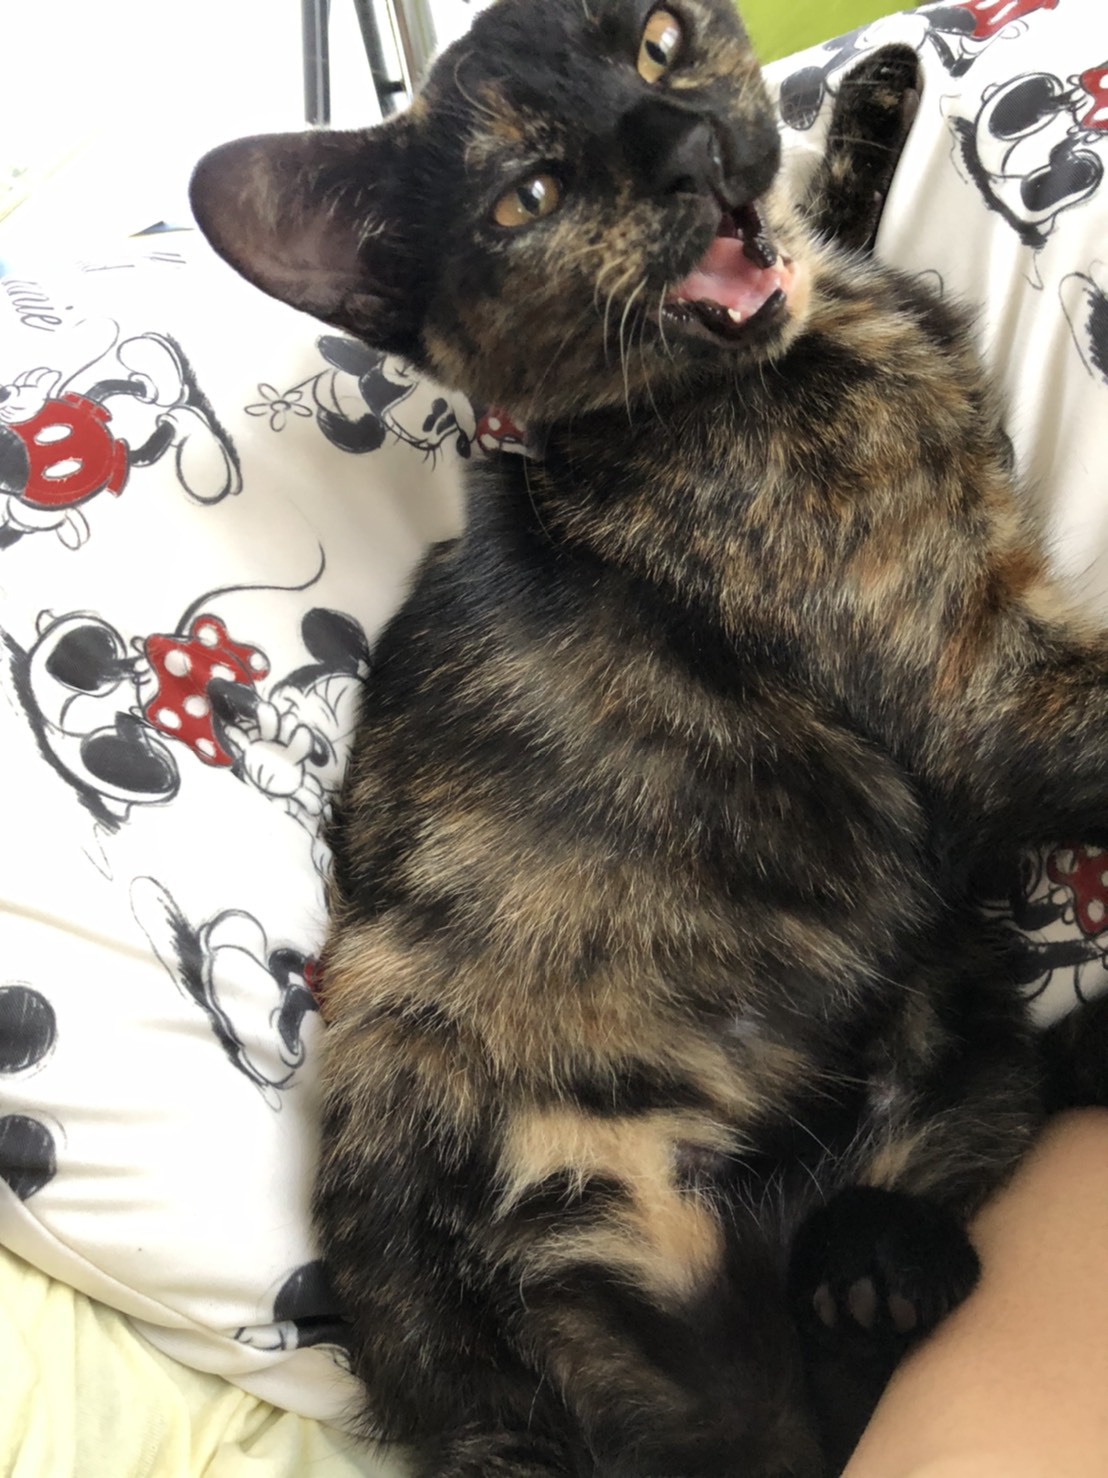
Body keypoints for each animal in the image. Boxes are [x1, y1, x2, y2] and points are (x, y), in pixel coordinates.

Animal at [190, 2, 1107, 1473]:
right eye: (530, 198)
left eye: (659, 43)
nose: (688, 148)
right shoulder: (985, 690)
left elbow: (825, 206)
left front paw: (872, 98)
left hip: (944, 1023)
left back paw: (879, 1255)